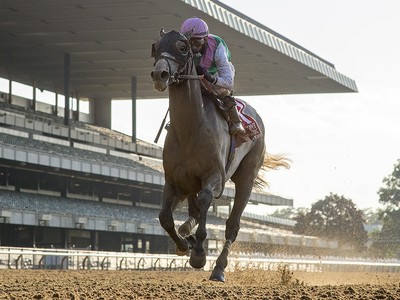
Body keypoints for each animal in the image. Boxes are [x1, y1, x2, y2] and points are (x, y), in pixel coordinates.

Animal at [150, 29, 288, 282]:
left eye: (182, 47)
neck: (190, 129)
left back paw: (219, 268)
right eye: (156, 46)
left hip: (247, 177)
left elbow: (205, 201)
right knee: (193, 211)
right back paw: (187, 231)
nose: (159, 74)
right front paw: (184, 244)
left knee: (232, 224)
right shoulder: (174, 181)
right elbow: (165, 217)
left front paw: (199, 254)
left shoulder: (216, 177)